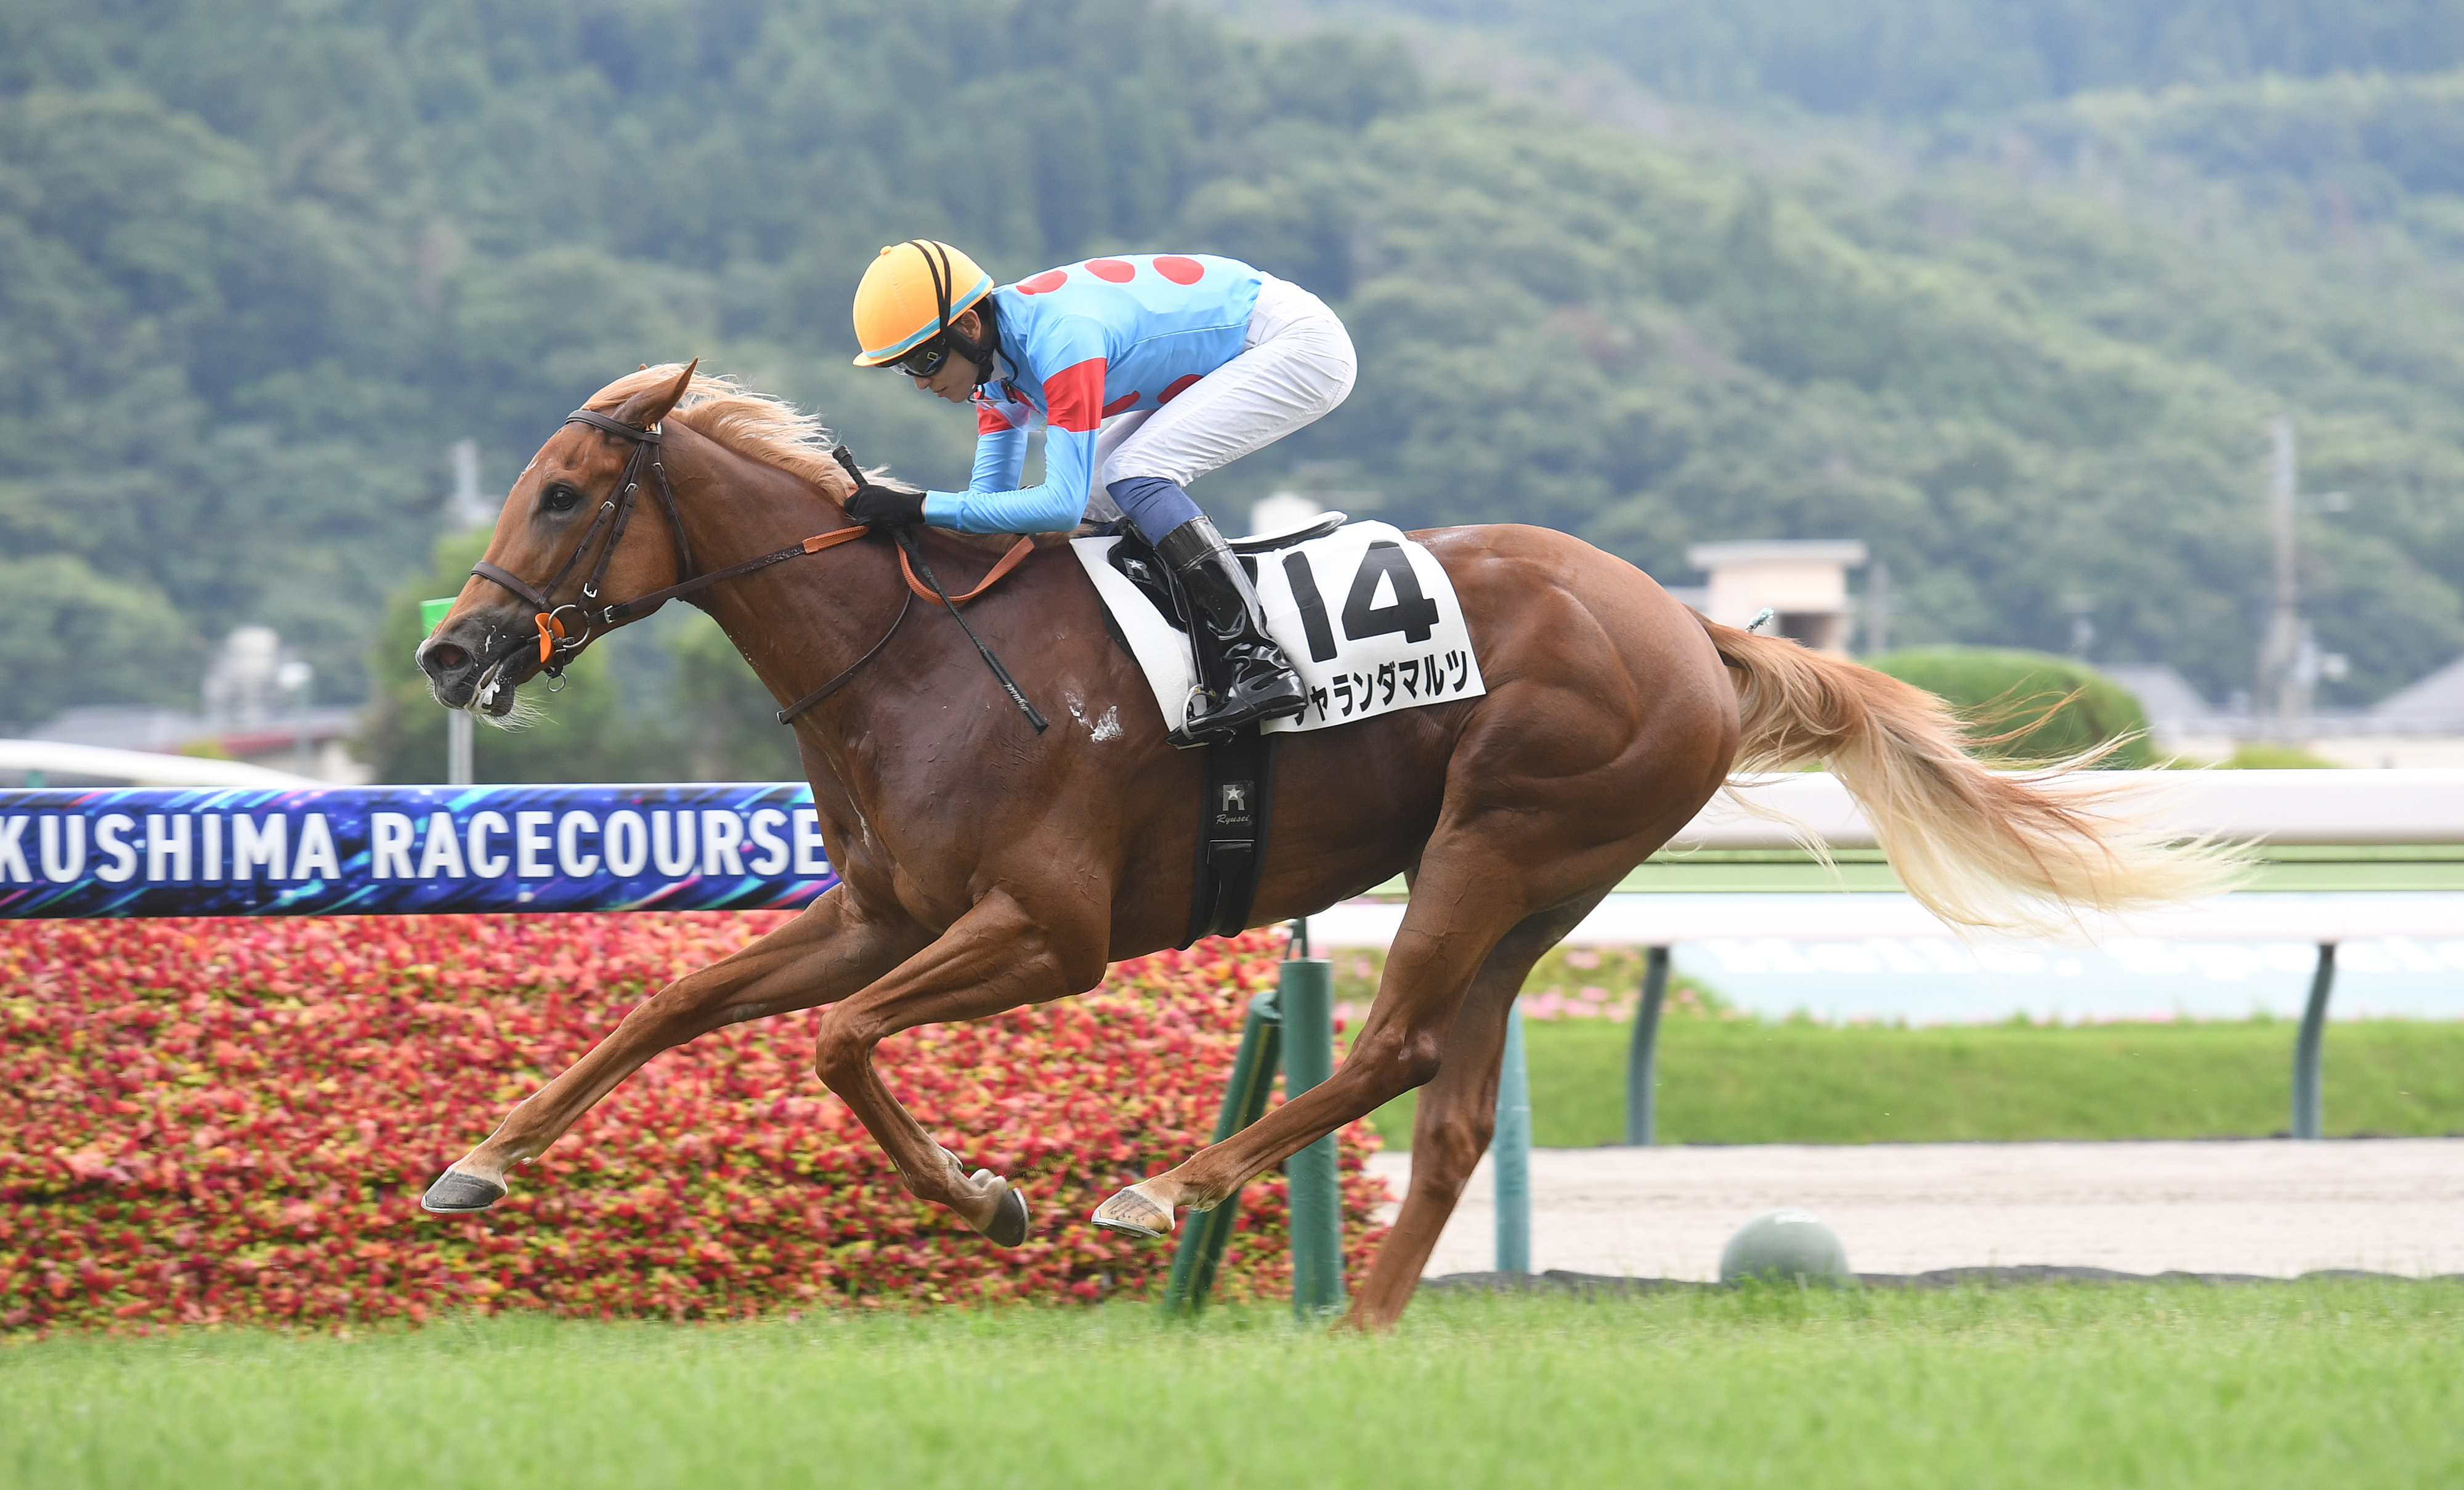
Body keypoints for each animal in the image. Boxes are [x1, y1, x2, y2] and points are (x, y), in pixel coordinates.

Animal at [413, 362, 2221, 1328]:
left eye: (563, 493)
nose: (449, 651)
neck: (912, 654)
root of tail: (1693, 625)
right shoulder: (882, 910)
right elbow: (679, 1002)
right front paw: (475, 1162)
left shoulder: (1048, 929)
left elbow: (843, 1044)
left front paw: (994, 1197)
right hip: (1538, 886)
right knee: (1459, 1098)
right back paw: (1358, 1316)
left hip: (1498, 840)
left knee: (1397, 1046)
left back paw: (1171, 1187)